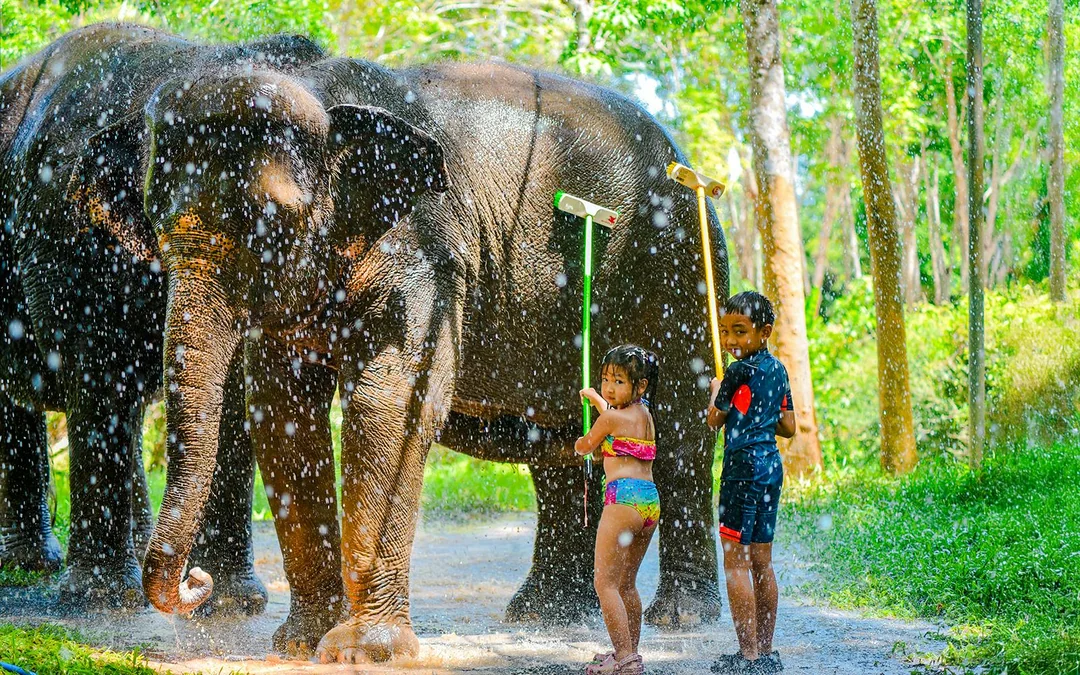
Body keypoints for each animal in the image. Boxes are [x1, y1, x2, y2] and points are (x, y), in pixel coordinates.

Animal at [0, 22, 339, 612]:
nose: (192, 581)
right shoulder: (71, 242)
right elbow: (100, 375)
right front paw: (100, 602)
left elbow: (234, 393)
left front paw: (232, 603)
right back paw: (37, 568)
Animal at [120, 33, 730, 661]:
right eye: (153, 219)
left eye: (271, 222)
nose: (195, 581)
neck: (323, 91)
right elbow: (283, 414)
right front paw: (301, 645)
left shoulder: (425, 253)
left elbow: (391, 406)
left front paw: (364, 652)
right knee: (560, 443)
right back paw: (546, 615)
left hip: (677, 266)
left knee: (679, 432)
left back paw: (680, 617)